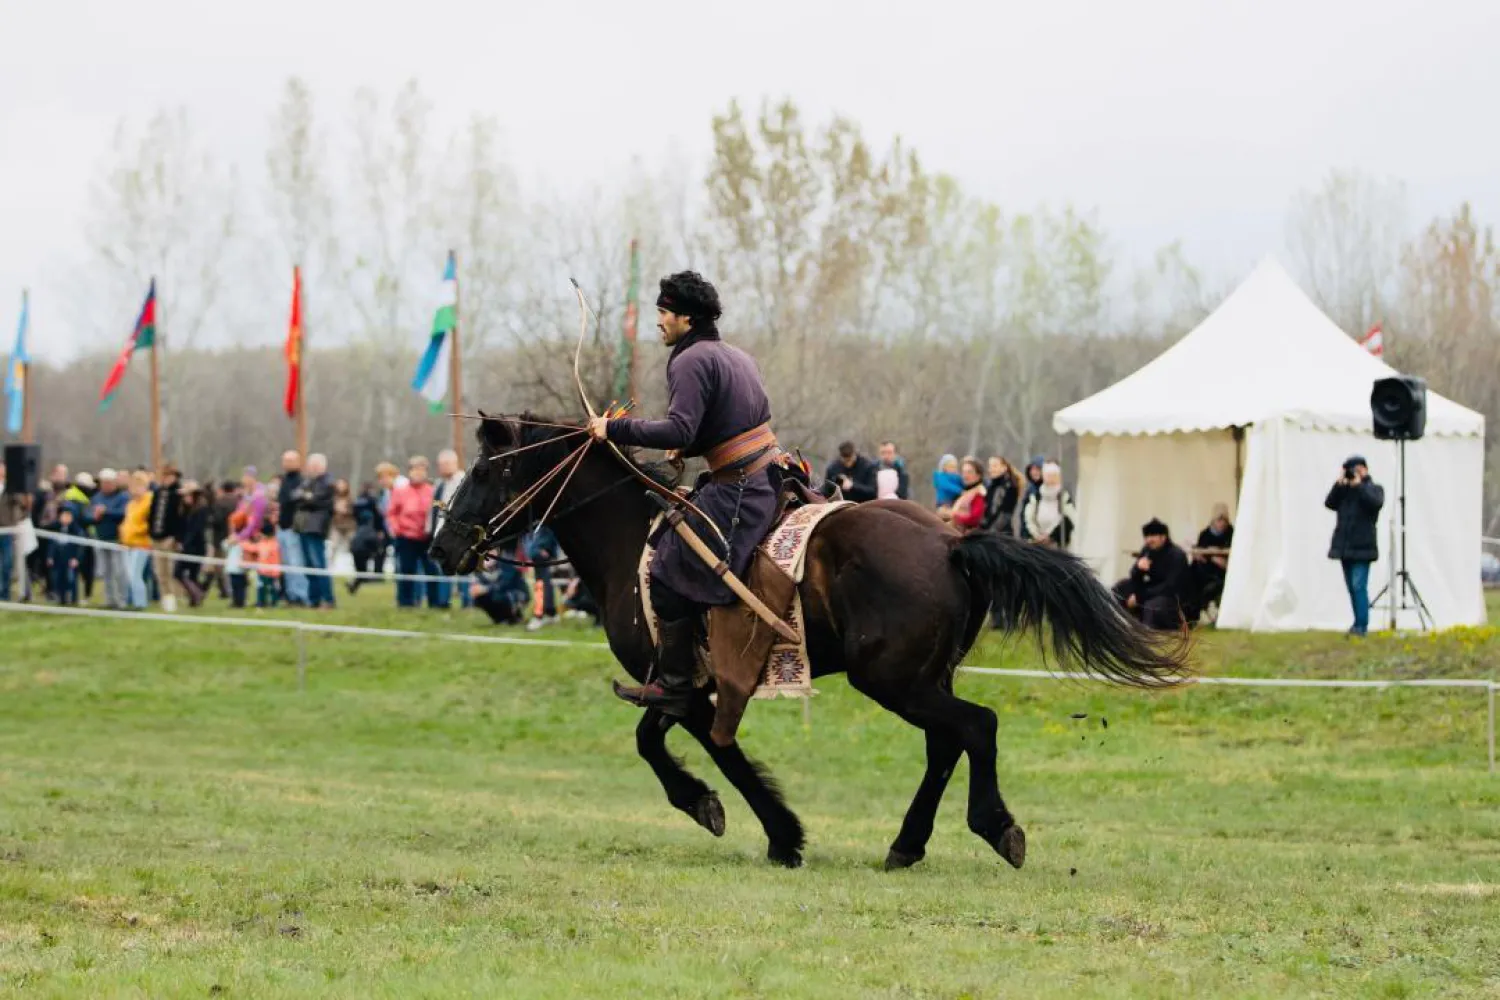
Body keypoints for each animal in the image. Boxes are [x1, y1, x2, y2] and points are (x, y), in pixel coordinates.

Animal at [429, 413, 1188, 869]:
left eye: (488, 471)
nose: (441, 547)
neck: (629, 539)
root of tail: (951, 542)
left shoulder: (685, 687)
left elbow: (702, 750)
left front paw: (764, 828)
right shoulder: (684, 686)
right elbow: (655, 739)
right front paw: (729, 812)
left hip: (893, 680)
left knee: (977, 727)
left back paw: (995, 827)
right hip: (923, 679)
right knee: (947, 744)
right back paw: (906, 844)